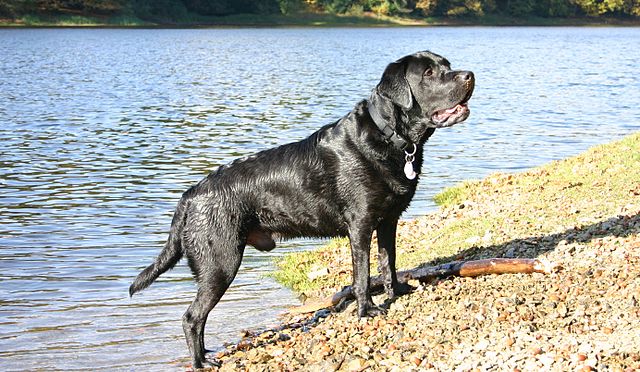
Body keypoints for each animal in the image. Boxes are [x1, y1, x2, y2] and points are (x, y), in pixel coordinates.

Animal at [130, 50, 472, 370]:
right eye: (428, 73)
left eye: (446, 64)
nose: (469, 75)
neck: (391, 138)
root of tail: (189, 196)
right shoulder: (360, 224)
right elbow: (362, 275)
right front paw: (367, 310)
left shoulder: (389, 220)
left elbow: (389, 261)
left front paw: (397, 291)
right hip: (220, 263)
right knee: (191, 317)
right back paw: (201, 362)